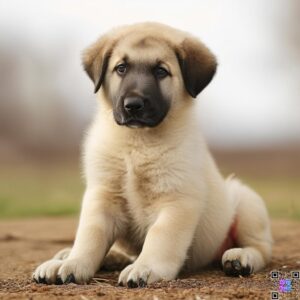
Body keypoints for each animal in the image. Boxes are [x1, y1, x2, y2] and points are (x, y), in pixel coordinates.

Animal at [32, 22, 272, 288]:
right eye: (121, 68)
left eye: (161, 71)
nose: (133, 105)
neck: (137, 143)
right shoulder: (103, 196)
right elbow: (89, 236)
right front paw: (73, 263)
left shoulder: (176, 200)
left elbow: (160, 237)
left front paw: (145, 268)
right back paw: (90, 256)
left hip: (246, 203)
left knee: (261, 248)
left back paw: (240, 257)